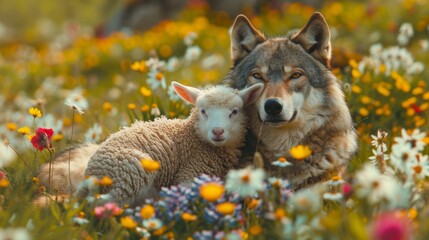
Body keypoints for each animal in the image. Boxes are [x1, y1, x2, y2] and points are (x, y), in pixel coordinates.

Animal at [72, 81, 260, 205]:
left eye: (234, 112)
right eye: (203, 111)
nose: (218, 131)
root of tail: (91, 176)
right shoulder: (190, 174)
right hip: (130, 174)